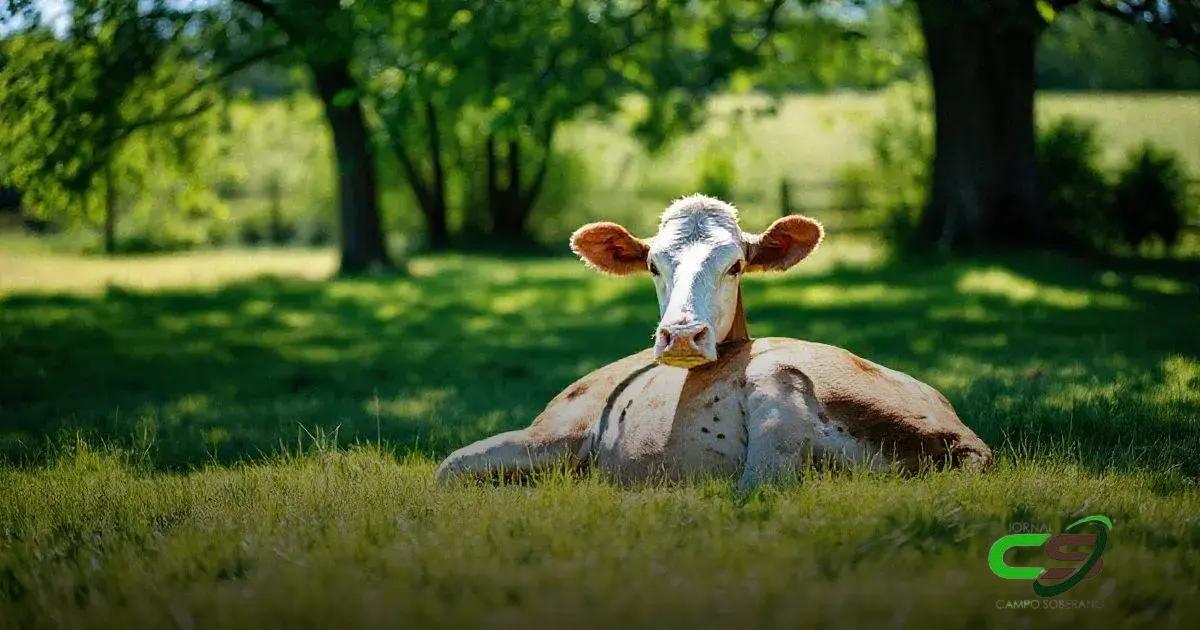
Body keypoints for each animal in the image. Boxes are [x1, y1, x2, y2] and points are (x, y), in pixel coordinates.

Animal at [436, 194, 988, 489]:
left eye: (736, 264)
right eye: (653, 264)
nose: (681, 334)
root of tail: (961, 439)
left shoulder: (560, 432)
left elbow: (446, 468)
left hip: (775, 393)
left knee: (757, 487)